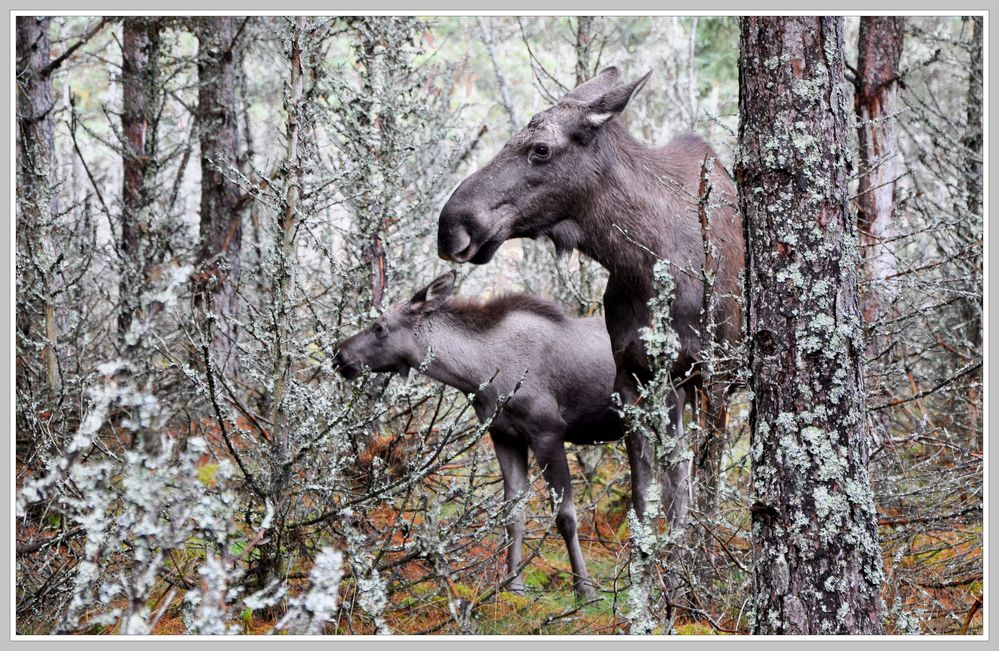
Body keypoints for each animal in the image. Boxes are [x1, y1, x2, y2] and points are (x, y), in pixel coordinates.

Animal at [336, 272, 620, 600]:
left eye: (380, 326)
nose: (340, 355)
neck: (478, 374)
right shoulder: (505, 436)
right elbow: (513, 514)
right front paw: (513, 586)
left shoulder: (548, 432)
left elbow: (566, 517)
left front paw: (585, 589)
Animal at [438, 66, 744, 528]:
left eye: (541, 149)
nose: (451, 225)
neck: (648, 267)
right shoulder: (632, 377)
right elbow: (646, 497)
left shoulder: (713, 375)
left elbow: (703, 496)